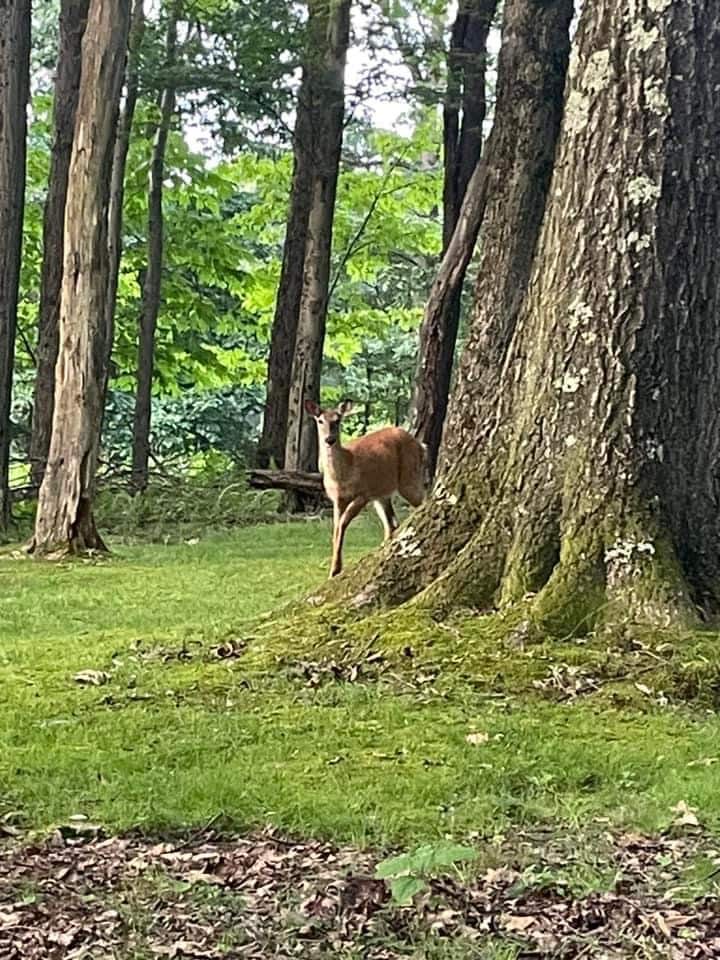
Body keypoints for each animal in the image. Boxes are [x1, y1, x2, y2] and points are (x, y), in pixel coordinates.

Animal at [304, 399, 426, 578]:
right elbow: (336, 529)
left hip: (408, 478)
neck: (342, 475)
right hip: (382, 493)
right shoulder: (337, 499)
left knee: (422, 502)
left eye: (337, 420)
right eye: (320, 420)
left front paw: (336, 569)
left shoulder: (363, 493)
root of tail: (421, 446)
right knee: (392, 523)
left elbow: (342, 524)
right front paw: (333, 570)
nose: (329, 439)